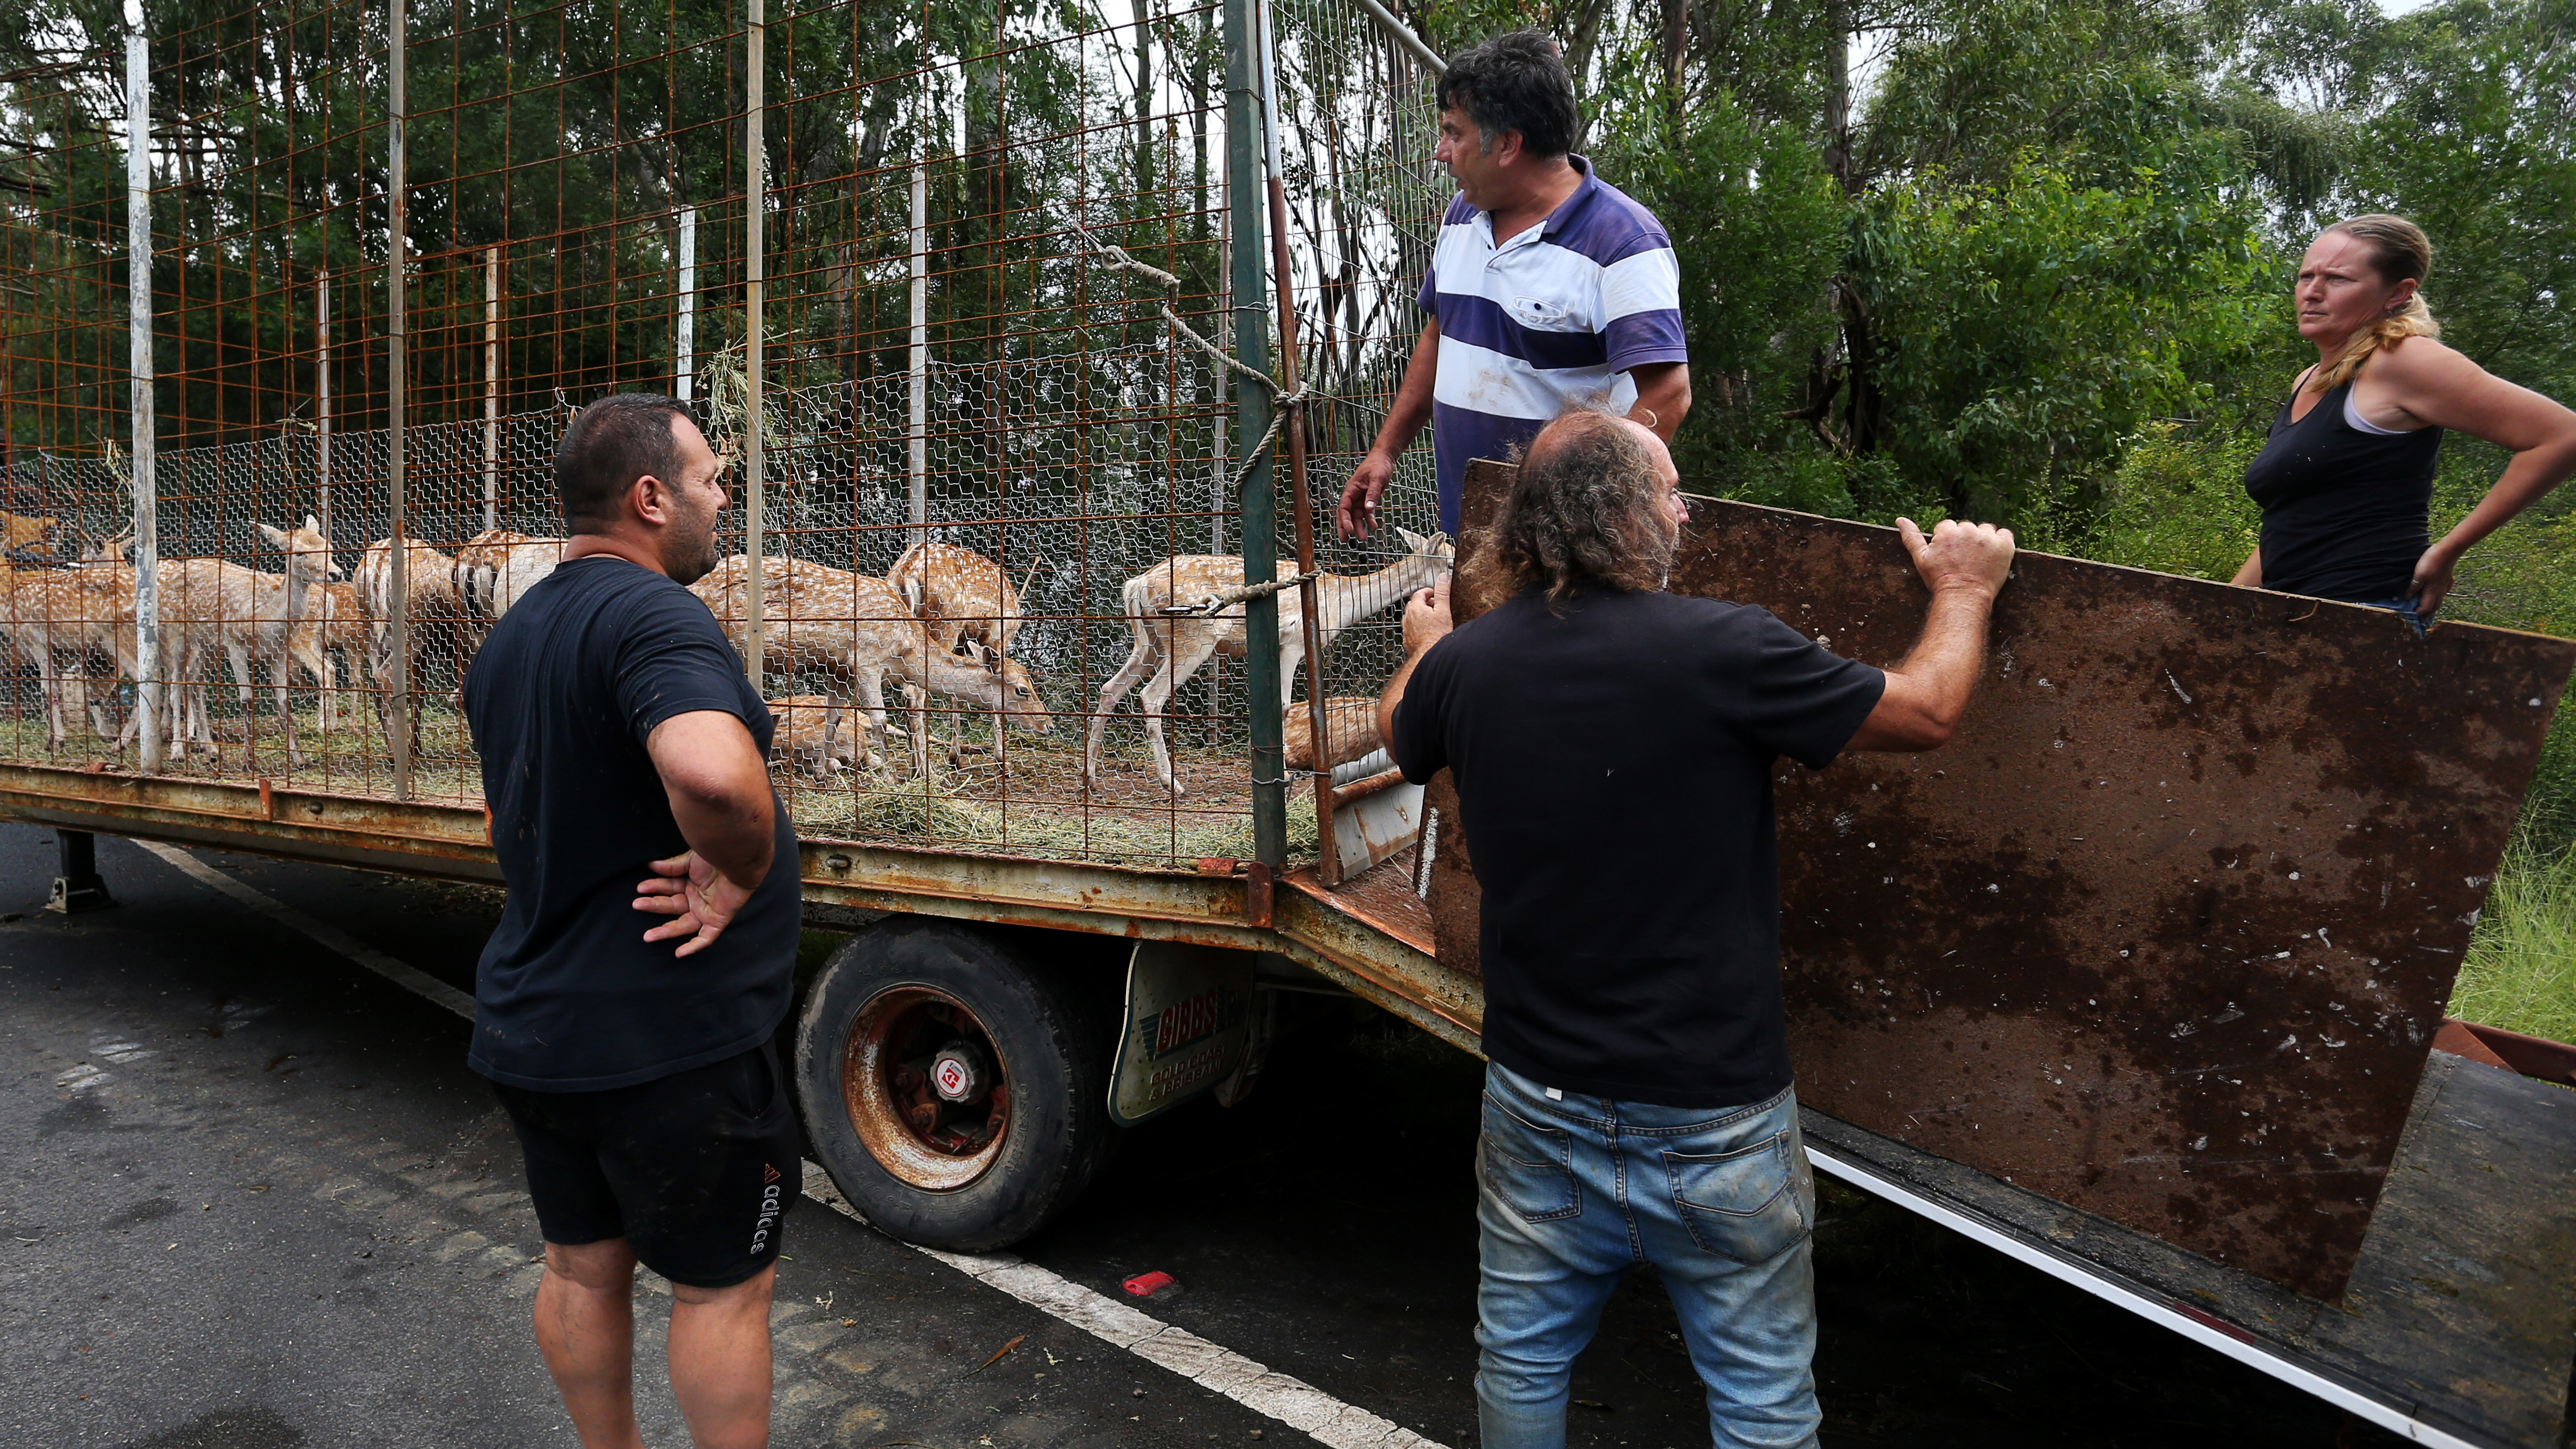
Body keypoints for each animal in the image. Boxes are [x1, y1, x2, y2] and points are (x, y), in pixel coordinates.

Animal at [690, 554, 1051, 778]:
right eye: (1022, 690)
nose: (1048, 724)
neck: (904, 652)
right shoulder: (866, 660)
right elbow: (879, 720)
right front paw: (892, 778)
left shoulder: (839, 668)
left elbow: (835, 716)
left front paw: (821, 772)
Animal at [1082, 521, 1452, 789]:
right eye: (1448, 560)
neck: (1342, 605)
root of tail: (1136, 586)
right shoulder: (1294, 642)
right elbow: (1285, 706)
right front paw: (1284, 775)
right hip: (1192, 639)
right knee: (1151, 695)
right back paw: (1171, 783)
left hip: (1151, 644)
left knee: (1110, 688)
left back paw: (1091, 778)